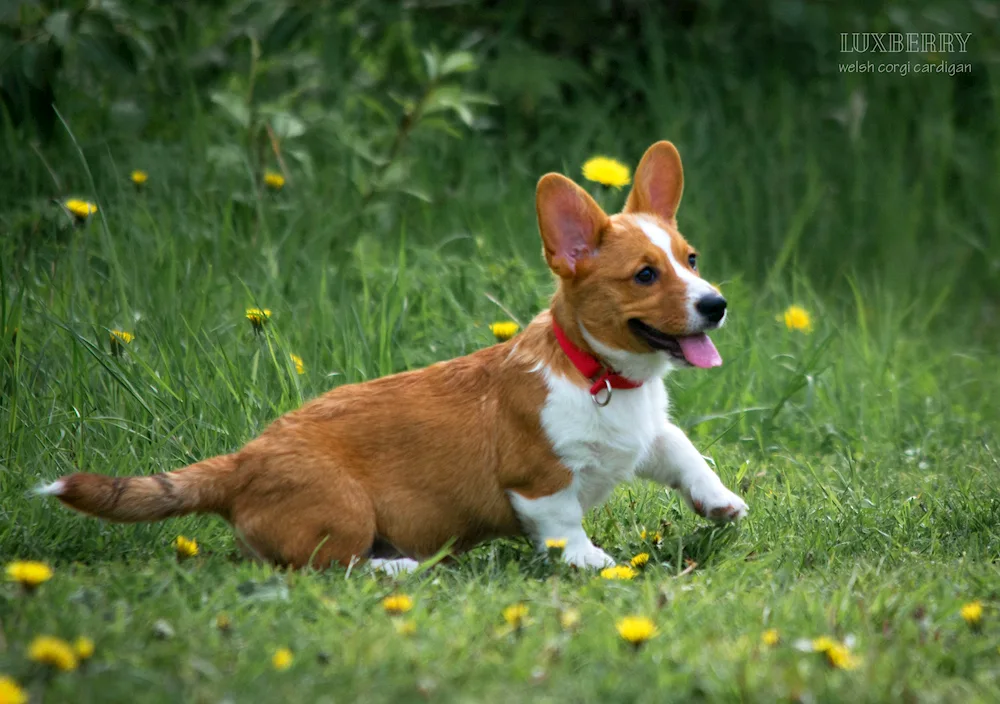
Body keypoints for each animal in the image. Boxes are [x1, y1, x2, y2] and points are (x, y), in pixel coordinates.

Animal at [39, 142, 748, 572]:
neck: (604, 375)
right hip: (346, 512)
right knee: (329, 567)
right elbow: (563, 522)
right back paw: (402, 566)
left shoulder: (649, 436)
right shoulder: (539, 478)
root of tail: (240, 465)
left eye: (691, 260)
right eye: (645, 276)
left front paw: (721, 502)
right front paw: (592, 561)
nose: (715, 305)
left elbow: (685, 452)